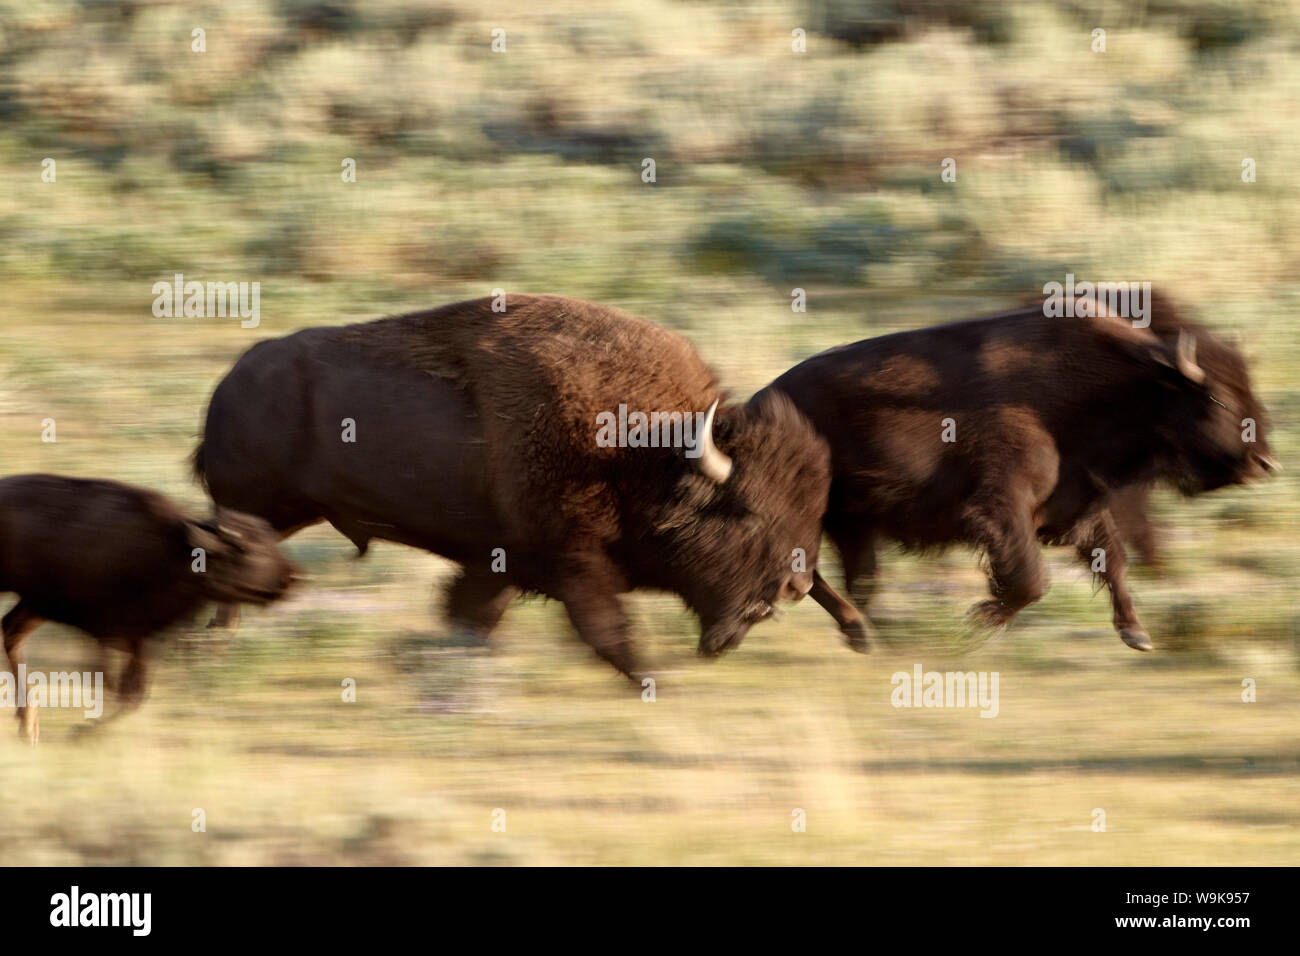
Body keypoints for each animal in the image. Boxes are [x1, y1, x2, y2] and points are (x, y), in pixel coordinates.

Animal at [0, 476, 295, 743]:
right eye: (248, 550)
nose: (293, 578)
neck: (176, 552)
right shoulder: (106, 633)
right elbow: (114, 686)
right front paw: (83, 731)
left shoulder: (143, 641)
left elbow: (133, 695)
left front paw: (85, 730)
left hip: (35, 605)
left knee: (12, 631)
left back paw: (28, 725)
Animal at [192, 291, 832, 681]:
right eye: (746, 510)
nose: (797, 585)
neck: (642, 450)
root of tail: (230, 381)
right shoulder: (572, 560)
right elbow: (606, 627)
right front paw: (652, 681)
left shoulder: (497, 562)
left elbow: (474, 613)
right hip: (254, 507)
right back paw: (213, 645)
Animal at [764, 291, 1274, 650]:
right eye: (1217, 398)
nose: (1265, 463)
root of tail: (762, 396)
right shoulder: (1003, 507)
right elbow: (1033, 578)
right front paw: (978, 623)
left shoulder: (1078, 503)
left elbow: (1113, 560)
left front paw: (1137, 634)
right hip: (820, 516)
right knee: (807, 573)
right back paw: (866, 634)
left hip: (851, 523)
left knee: (834, 576)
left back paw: (869, 634)